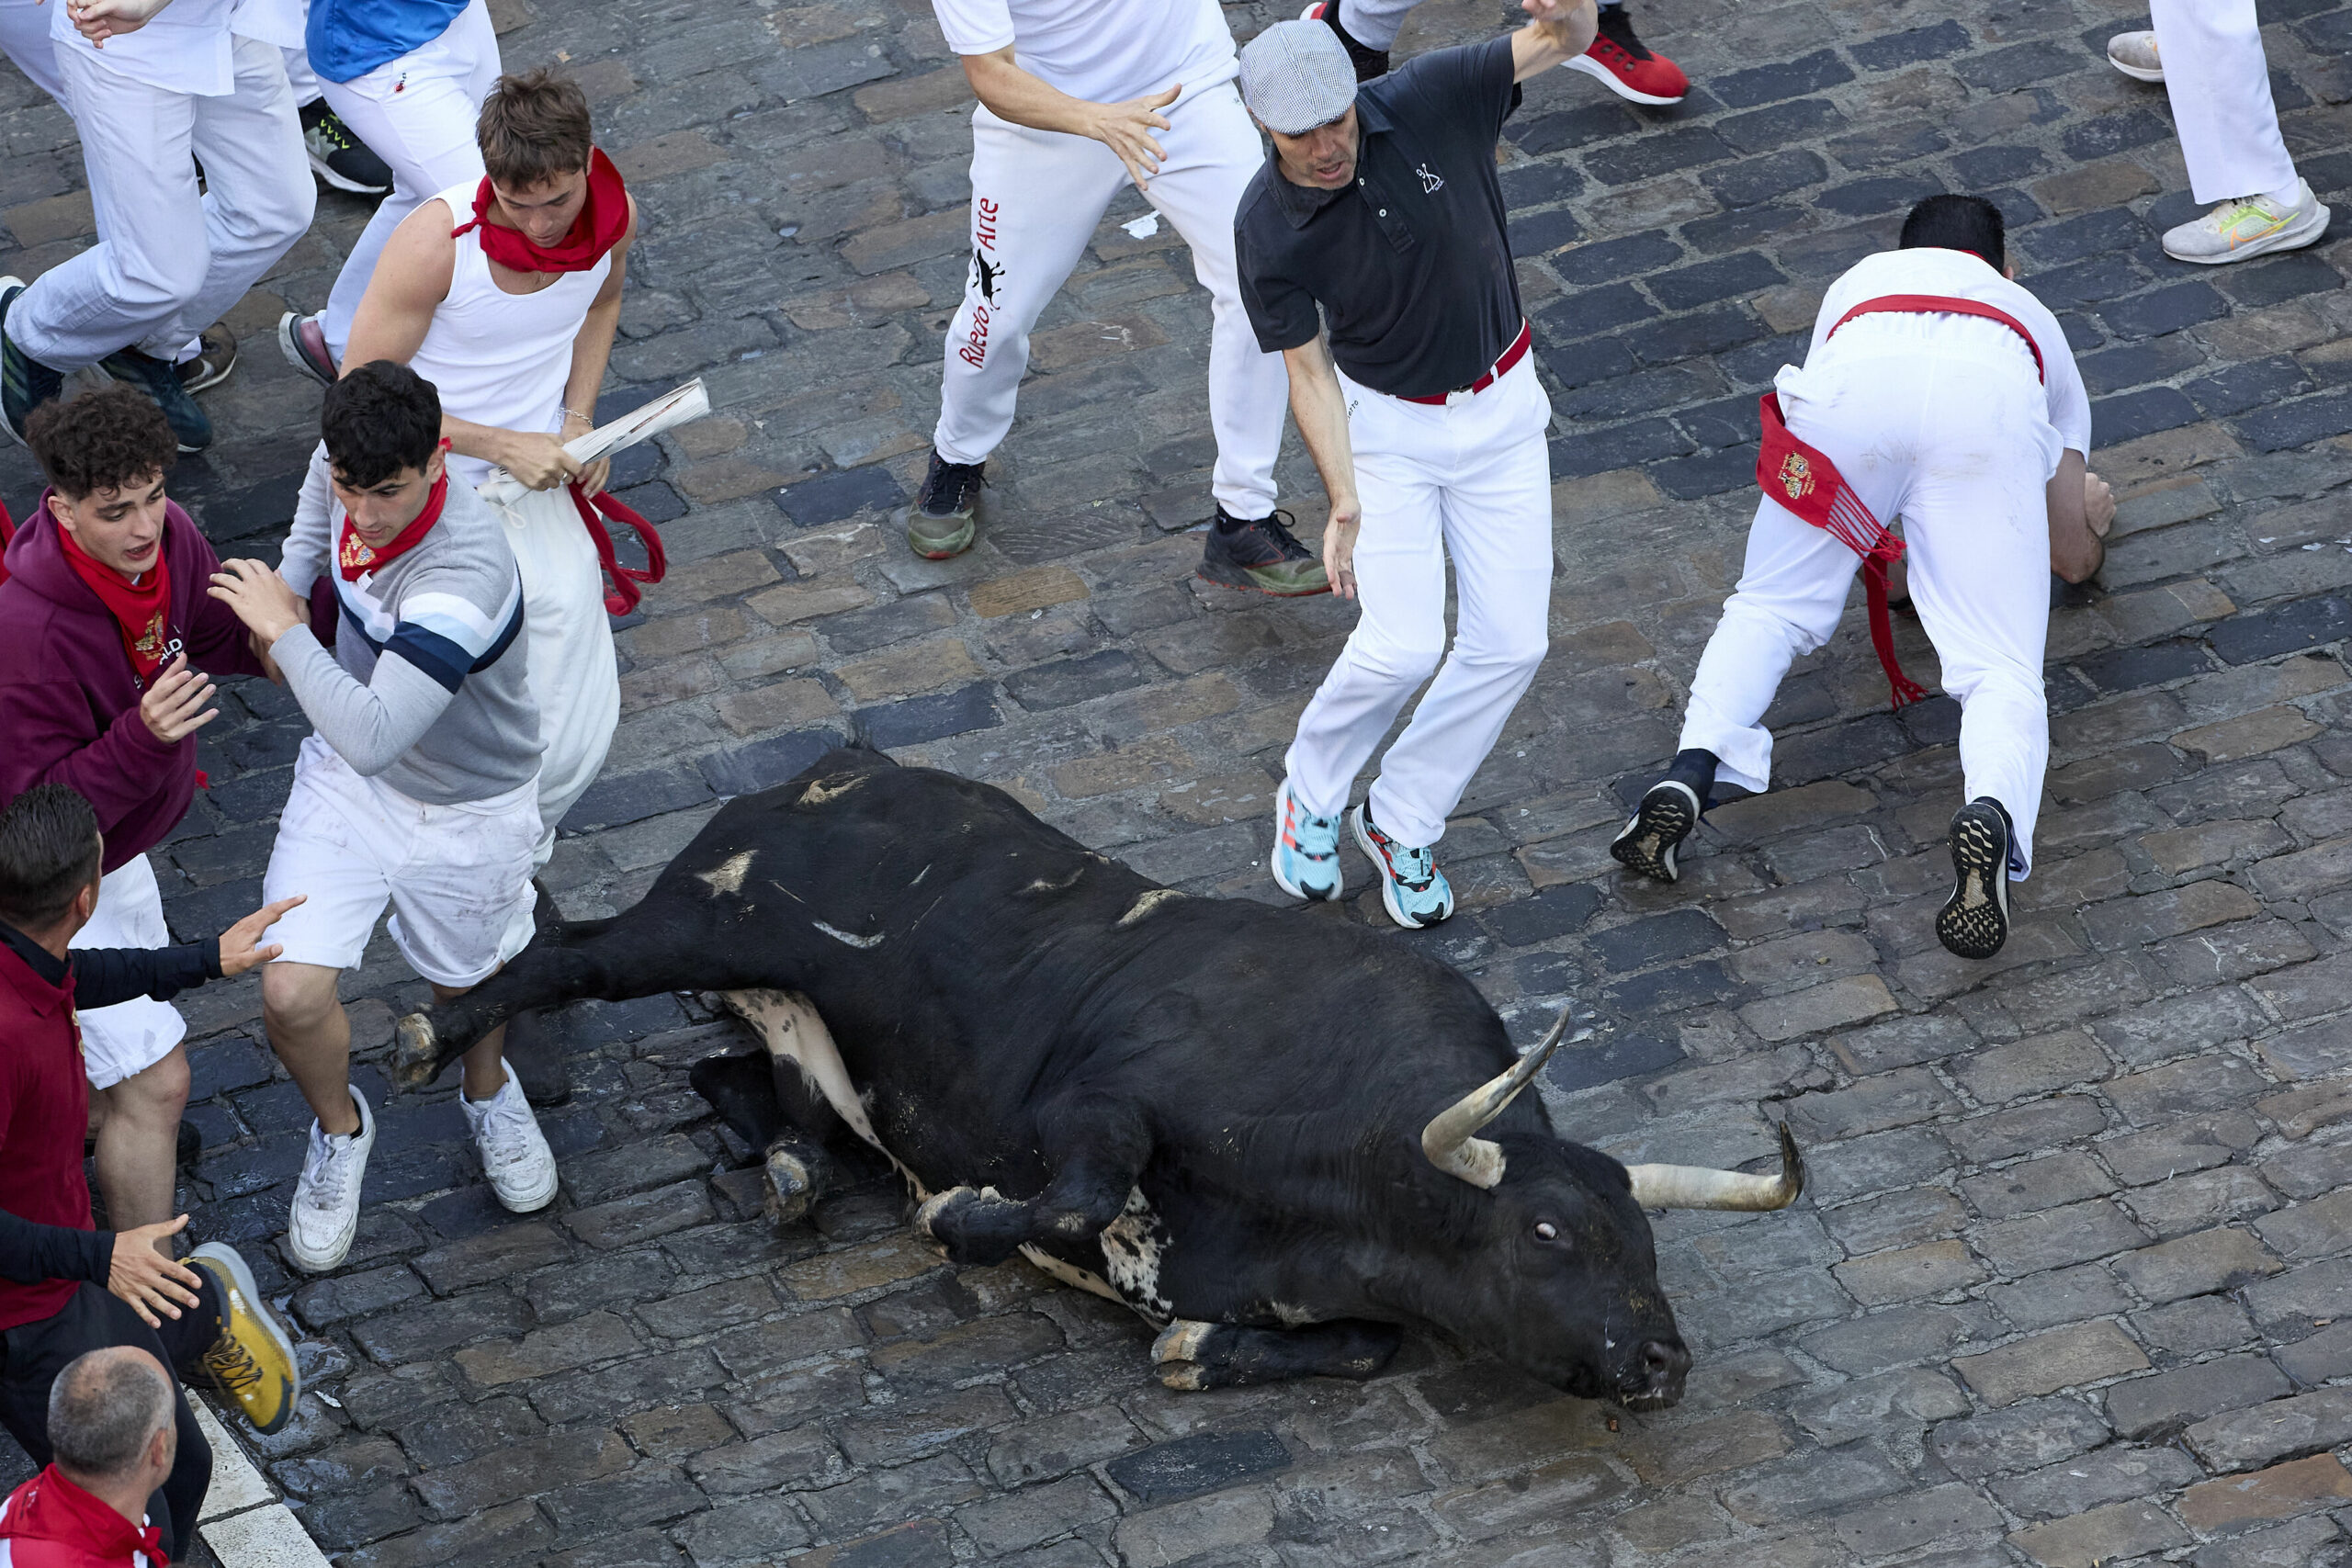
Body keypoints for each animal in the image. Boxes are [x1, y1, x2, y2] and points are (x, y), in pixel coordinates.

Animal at [395, 747, 1806, 1410]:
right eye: (1550, 1231)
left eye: (1644, 1239)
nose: (1664, 1359)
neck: (1341, 1180)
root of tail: (841, 765)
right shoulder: (1095, 1100)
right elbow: (1071, 1191)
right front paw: (967, 1213)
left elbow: (1358, 1346)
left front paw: (1193, 1343)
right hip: (711, 922)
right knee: (568, 957)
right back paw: (426, 1032)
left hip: (778, 1021)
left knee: (739, 1080)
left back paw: (793, 1164)